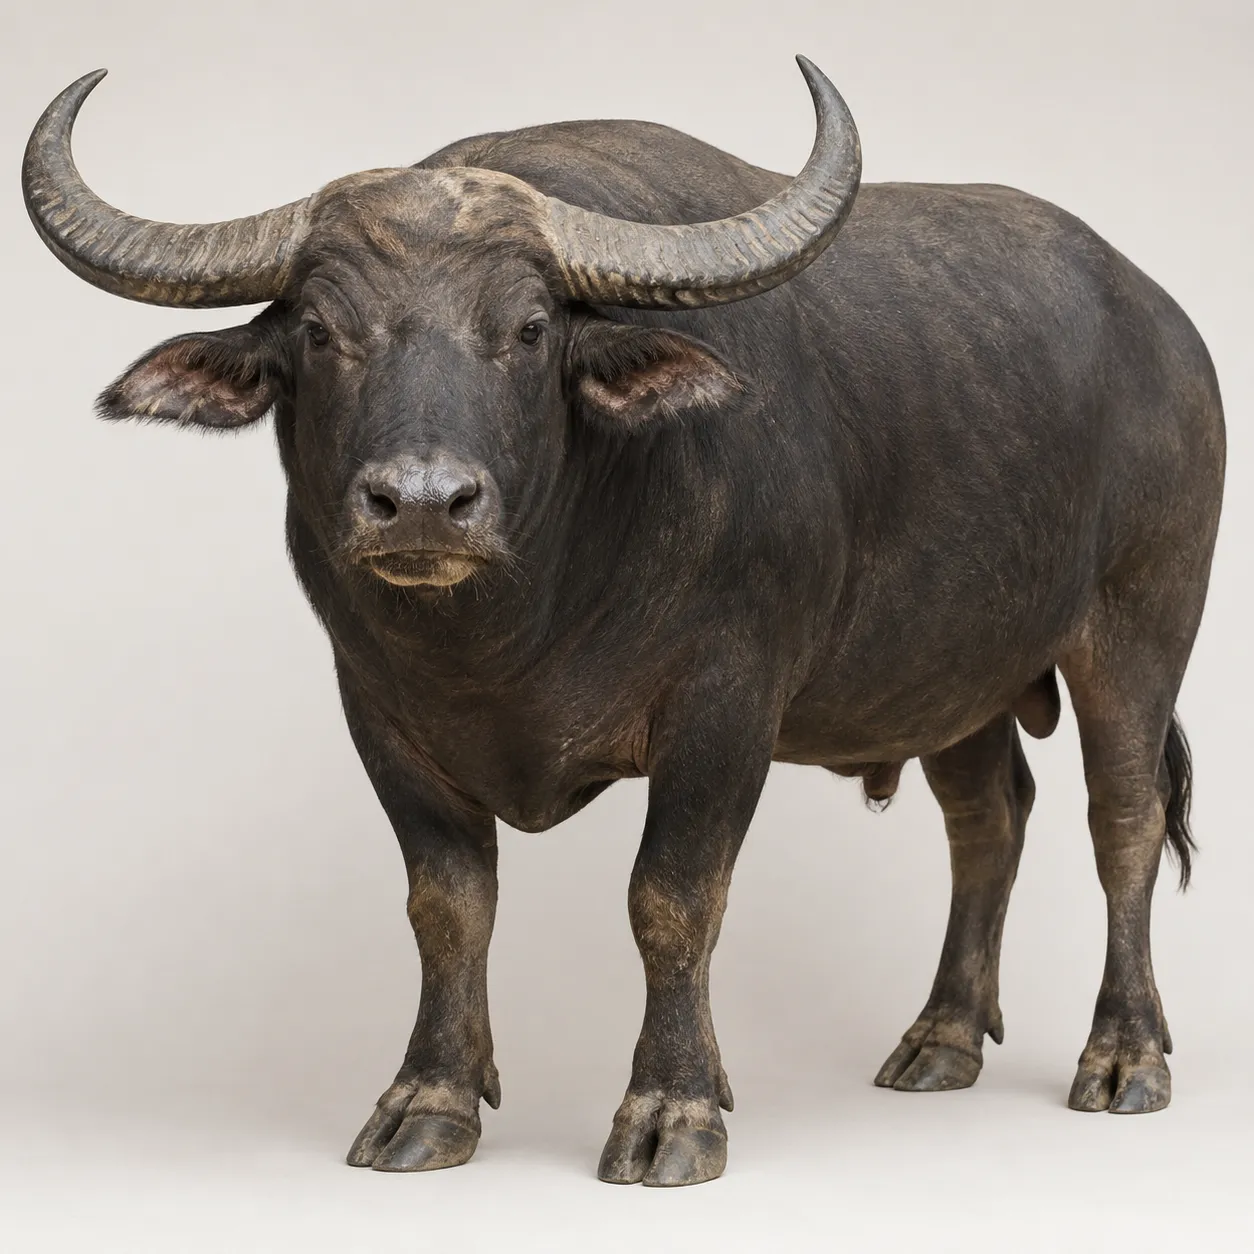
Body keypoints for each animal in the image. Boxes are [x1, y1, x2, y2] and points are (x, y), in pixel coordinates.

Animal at [23, 58, 1224, 1187]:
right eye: (320, 332)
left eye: (528, 329)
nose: (423, 502)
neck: (513, 628)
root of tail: (1170, 333)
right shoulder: (379, 713)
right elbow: (446, 906)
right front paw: (431, 1098)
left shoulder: (725, 710)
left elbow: (673, 901)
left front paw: (673, 1109)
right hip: (951, 676)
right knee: (987, 819)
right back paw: (941, 1037)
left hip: (1142, 624)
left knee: (1123, 819)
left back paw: (1124, 1055)